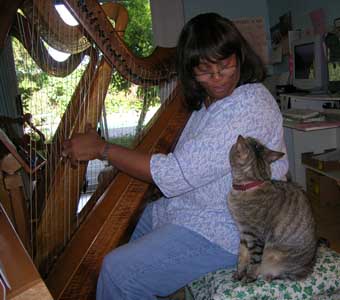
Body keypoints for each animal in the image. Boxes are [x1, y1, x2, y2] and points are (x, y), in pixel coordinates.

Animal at [227, 135, 318, 282]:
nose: (241, 136)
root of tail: (311, 264)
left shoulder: (254, 235)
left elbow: (254, 260)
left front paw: (249, 276)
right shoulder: (244, 234)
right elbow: (242, 256)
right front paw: (239, 273)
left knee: (290, 275)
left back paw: (270, 276)